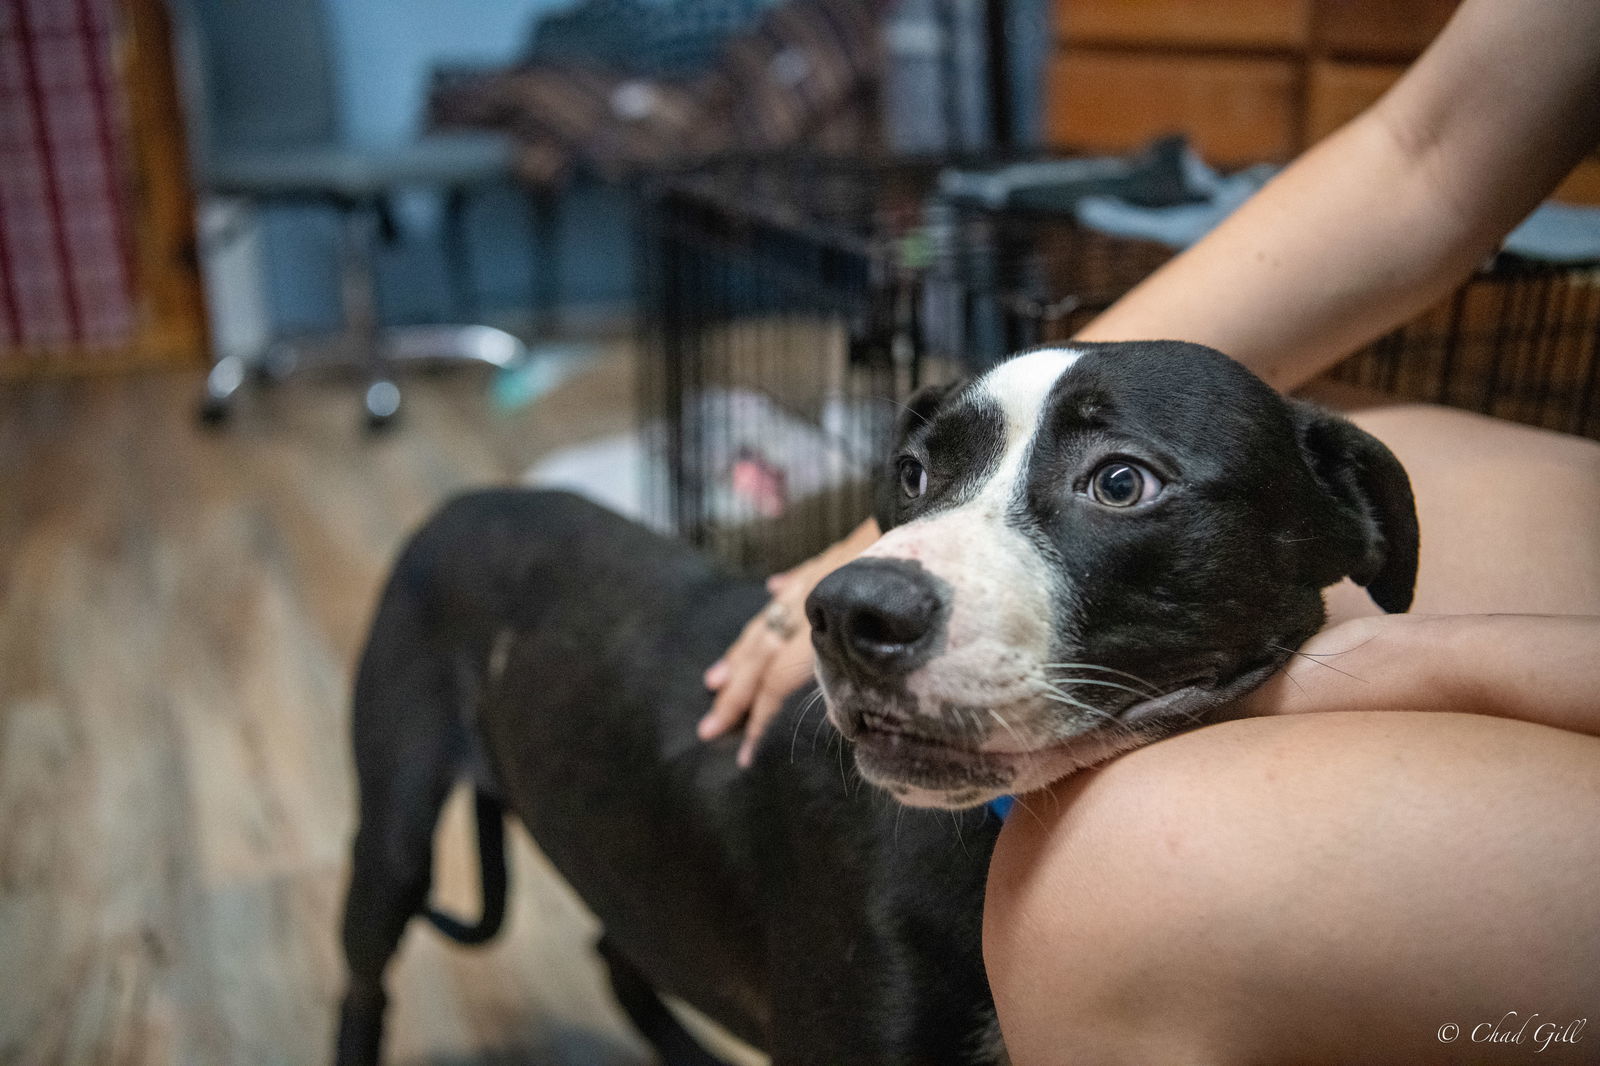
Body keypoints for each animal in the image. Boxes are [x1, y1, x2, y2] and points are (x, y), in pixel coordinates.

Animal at [334, 342, 1414, 1062]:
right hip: (394, 829)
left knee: (619, 944)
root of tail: (467, 500)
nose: (850, 610)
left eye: (1120, 482)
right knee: (365, 979)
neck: (991, 840)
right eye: (912, 472)